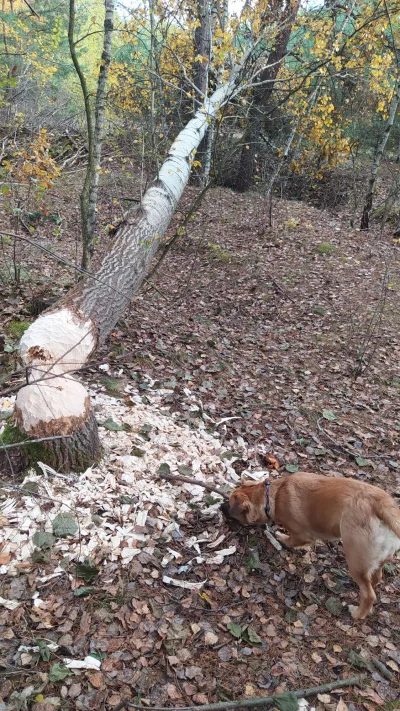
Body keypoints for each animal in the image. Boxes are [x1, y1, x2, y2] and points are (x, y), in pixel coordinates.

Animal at [220, 476, 400, 620]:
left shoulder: (302, 534)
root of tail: (381, 503)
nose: (221, 506)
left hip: (354, 557)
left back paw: (357, 613)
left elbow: (292, 540)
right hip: (375, 559)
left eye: (230, 504)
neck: (273, 496)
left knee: (369, 595)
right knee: (375, 577)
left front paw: (281, 538)